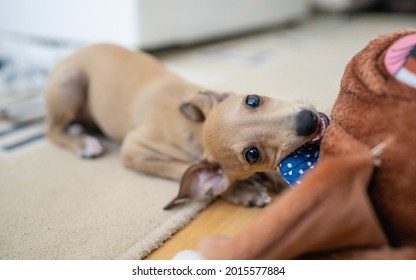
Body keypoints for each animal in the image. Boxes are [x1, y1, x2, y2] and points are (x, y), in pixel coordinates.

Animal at [45, 43, 324, 209]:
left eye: (252, 99)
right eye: (252, 155)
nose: (308, 119)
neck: (196, 130)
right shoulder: (134, 149)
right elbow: (182, 171)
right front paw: (243, 190)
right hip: (71, 80)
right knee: (52, 132)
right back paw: (82, 143)